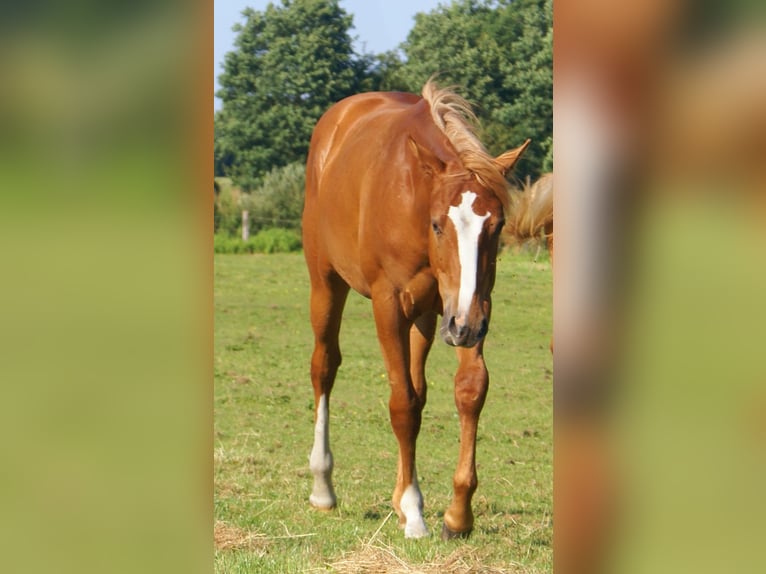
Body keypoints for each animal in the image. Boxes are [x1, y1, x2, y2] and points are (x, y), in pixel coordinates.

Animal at [302, 80, 530, 539]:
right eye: (438, 224)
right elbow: (402, 405)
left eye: (496, 226)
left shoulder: (469, 306)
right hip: (326, 283)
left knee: (417, 387)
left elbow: (467, 390)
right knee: (325, 366)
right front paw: (415, 511)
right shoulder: (390, 305)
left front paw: (457, 514)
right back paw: (323, 488)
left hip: (426, 317)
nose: (464, 328)